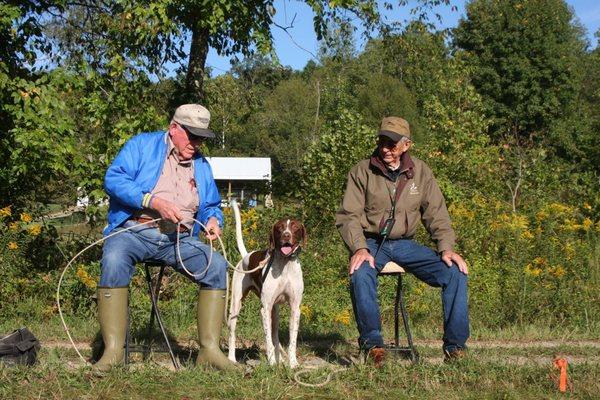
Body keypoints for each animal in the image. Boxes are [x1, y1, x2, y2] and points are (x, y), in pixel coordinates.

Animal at [227, 200, 308, 368]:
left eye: (295, 227)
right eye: (280, 228)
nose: (286, 235)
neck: (285, 264)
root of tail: (246, 256)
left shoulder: (295, 308)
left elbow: (292, 341)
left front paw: (292, 363)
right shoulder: (264, 309)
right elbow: (268, 341)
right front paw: (271, 362)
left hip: (275, 311)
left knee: (275, 335)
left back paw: (281, 359)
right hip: (236, 306)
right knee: (232, 332)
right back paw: (231, 359)